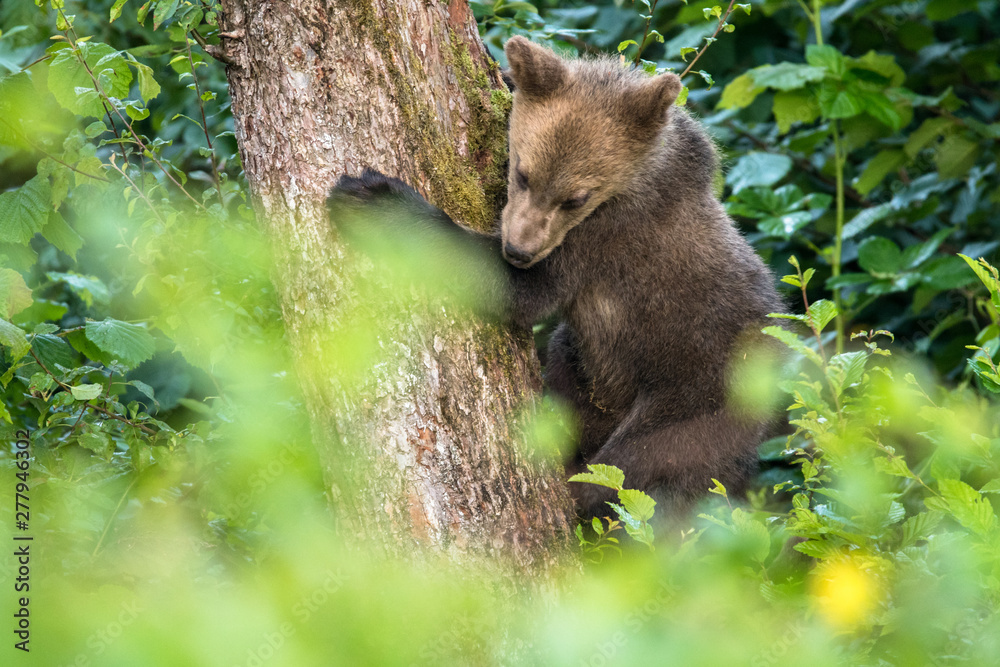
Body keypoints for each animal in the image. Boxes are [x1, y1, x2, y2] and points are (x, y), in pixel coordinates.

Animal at [327, 36, 784, 519]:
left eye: (576, 197)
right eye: (523, 172)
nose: (518, 249)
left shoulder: (601, 239)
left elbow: (521, 292)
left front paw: (373, 198)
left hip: (696, 396)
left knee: (633, 468)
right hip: (592, 364)